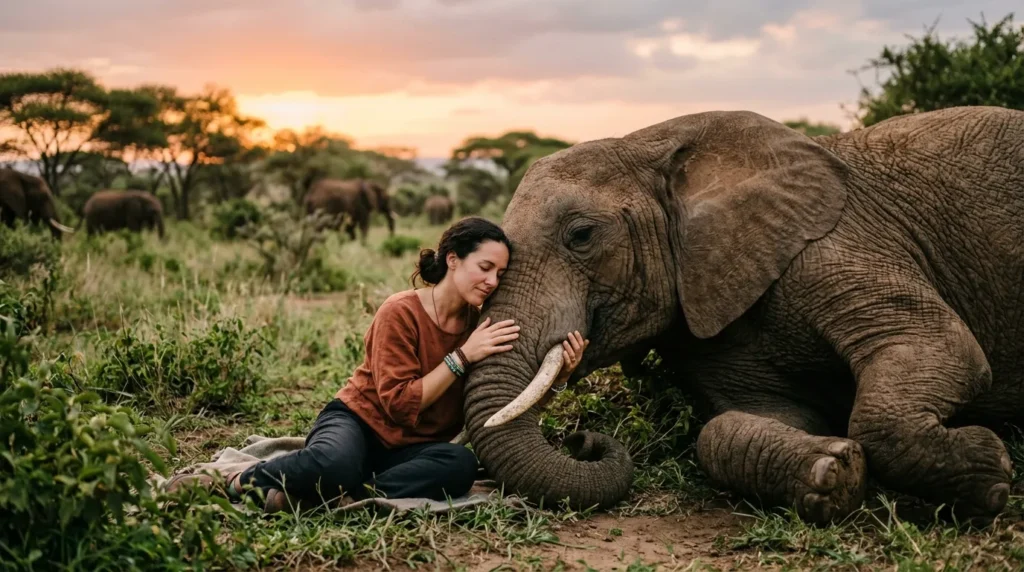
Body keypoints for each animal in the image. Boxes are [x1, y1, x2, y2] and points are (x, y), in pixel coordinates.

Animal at [462, 106, 1024, 526]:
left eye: (581, 235)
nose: (581, 440)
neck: (650, 145)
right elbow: (733, 425)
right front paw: (834, 475)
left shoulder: (834, 243)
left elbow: (942, 349)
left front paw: (988, 471)